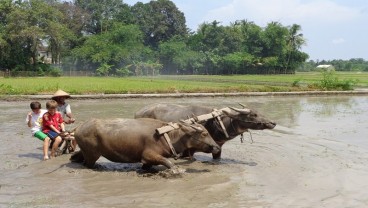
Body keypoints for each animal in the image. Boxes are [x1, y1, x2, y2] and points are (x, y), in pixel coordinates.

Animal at [70, 118, 220, 170]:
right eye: (204, 134)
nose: (217, 147)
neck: (166, 136)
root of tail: (79, 127)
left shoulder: (147, 161)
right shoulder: (148, 155)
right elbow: (168, 162)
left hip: (86, 152)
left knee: (76, 157)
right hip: (92, 155)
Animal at [134, 103, 274, 159]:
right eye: (254, 115)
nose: (273, 123)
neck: (215, 122)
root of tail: (138, 112)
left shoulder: (218, 147)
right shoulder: (188, 150)